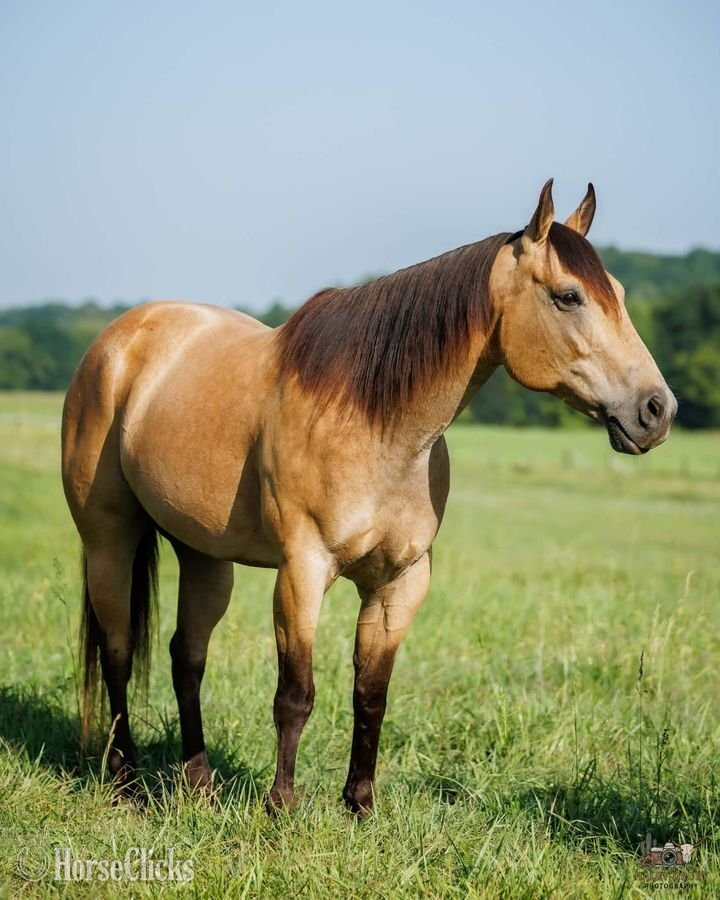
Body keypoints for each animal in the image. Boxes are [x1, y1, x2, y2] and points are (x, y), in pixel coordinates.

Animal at [61, 180, 676, 816]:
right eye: (568, 297)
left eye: (618, 294)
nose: (657, 410)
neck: (377, 424)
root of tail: (119, 341)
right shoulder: (303, 572)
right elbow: (296, 694)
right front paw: (282, 805)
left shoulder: (398, 583)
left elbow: (370, 694)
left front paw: (358, 804)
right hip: (108, 538)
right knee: (118, 650)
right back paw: (126, 779)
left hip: (204, 554)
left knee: (187, 656)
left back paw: (199, 782)